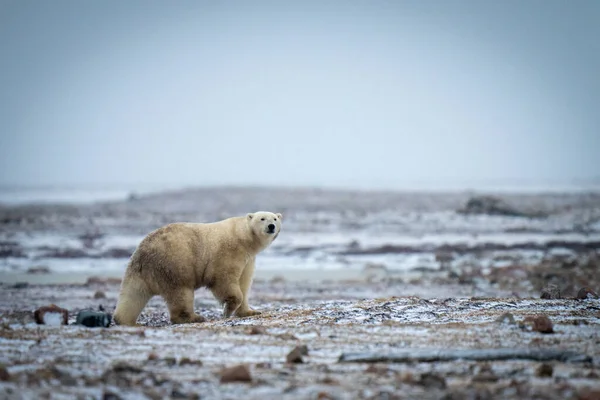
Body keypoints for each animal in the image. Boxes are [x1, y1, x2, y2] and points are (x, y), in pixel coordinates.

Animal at [113, 211, 282, 326]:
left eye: (275, 218)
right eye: (262, 218)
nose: (271, 226)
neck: (243, 237)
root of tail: (142, 252)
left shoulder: (248, 259)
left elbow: (244, 283)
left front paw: (250, 311)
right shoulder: (228, 252)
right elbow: (223, 279)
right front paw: (227, 310)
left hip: (141, 271)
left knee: (134, 294)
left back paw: (124, 320)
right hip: (175, 263)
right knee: (181, 293)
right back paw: (193, 317)